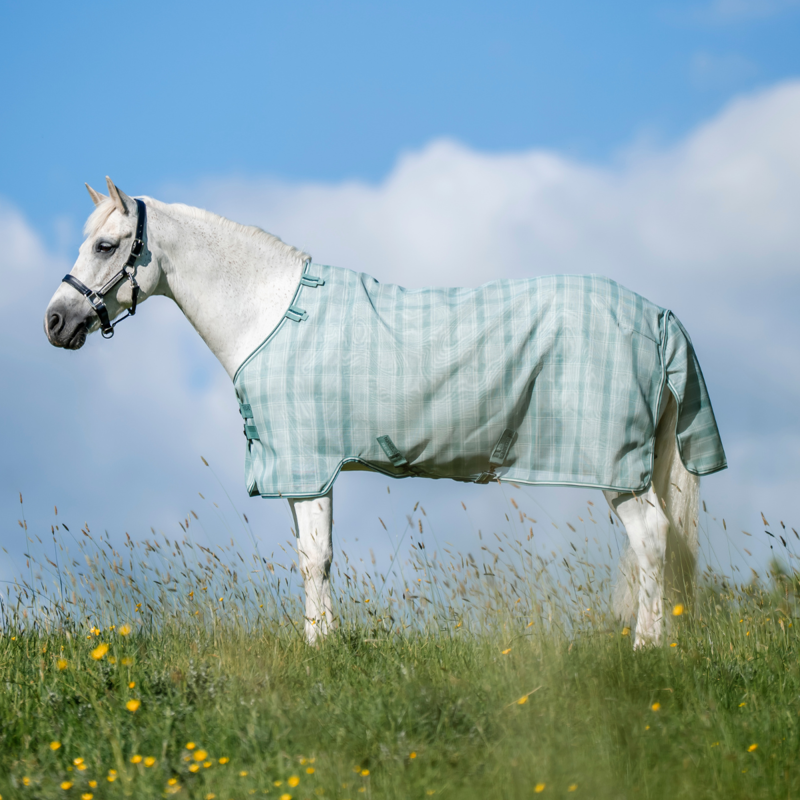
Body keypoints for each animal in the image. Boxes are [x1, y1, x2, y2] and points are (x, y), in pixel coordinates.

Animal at [44, 178, 727, 647]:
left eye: (106, 245)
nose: (55, 321)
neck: (272, 313)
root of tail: (655, 314)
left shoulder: (308, 466)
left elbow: (315, 559)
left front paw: (319, 648)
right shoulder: (299, 474)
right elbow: (308, 556)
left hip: (615, 469)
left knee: (651, 539)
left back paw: (645, 648)